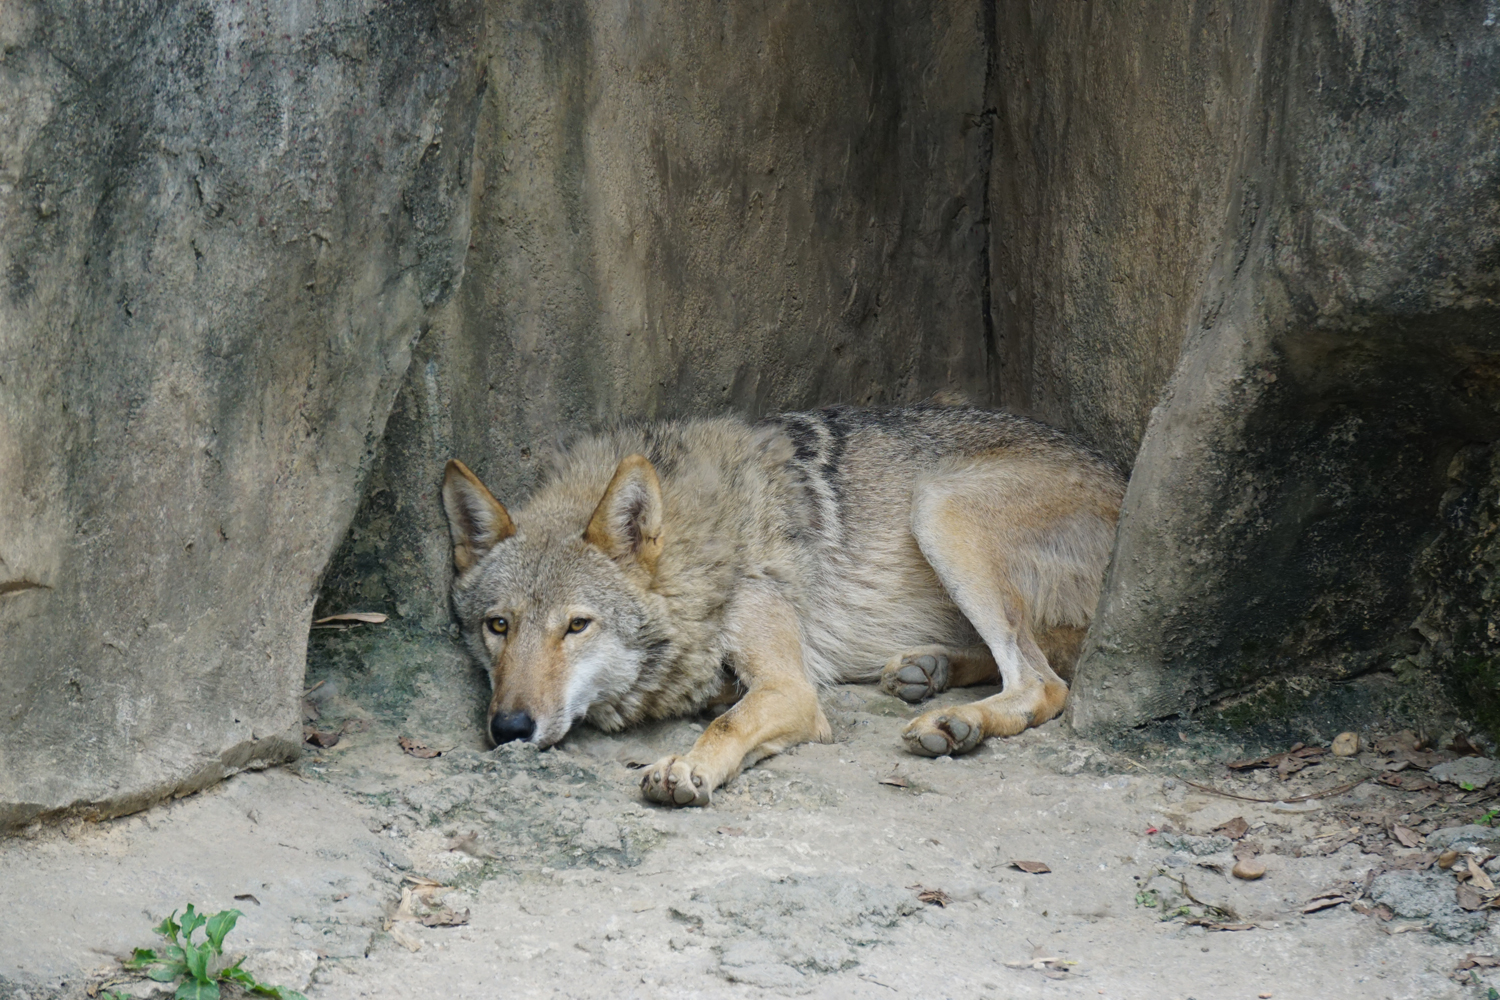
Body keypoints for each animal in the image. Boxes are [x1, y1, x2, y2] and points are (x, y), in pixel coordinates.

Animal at [441, 403, 1124, 807]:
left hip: (938, 507)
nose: (510, 729)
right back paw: (927, 672)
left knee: (1044, 683)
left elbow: (729, 722)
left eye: (577, 626)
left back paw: (955, 723)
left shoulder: (791, 689)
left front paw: (688, 766)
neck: (701, 547)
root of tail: (1121, 483)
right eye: (498, 626)